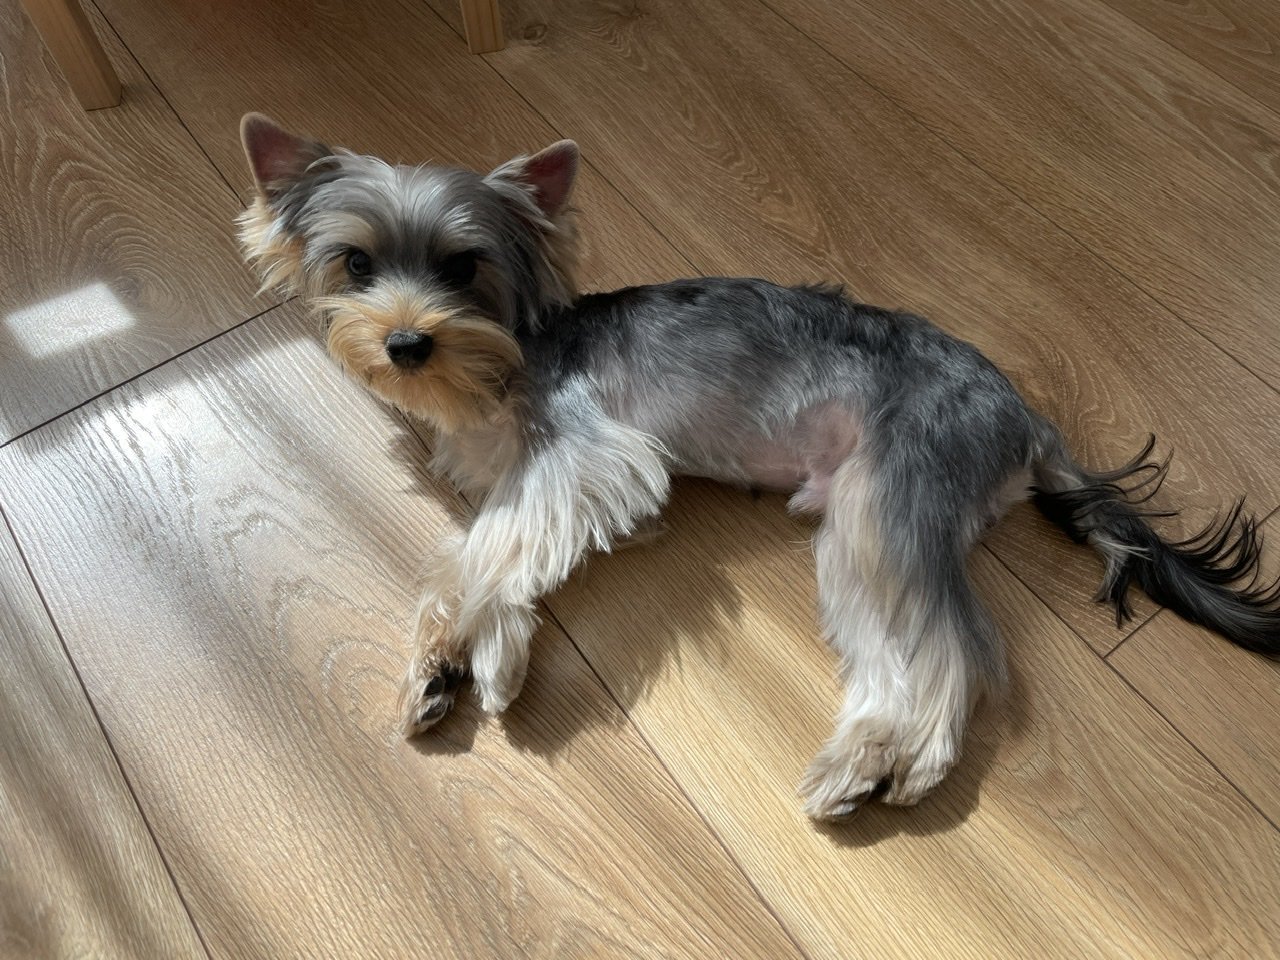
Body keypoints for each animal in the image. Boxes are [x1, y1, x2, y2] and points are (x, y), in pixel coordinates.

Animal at [237, 114, 1280, 819]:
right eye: (356, 265)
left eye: (464, 268)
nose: (406, 343)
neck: (502, 359)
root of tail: (1026, 416)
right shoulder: (539, 486)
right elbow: (494, 556)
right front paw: (459, 658)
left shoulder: (588, 458)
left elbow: (491, 547)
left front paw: (473, 659)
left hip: (885, 499)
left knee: (948, 650)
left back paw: (879, 761)